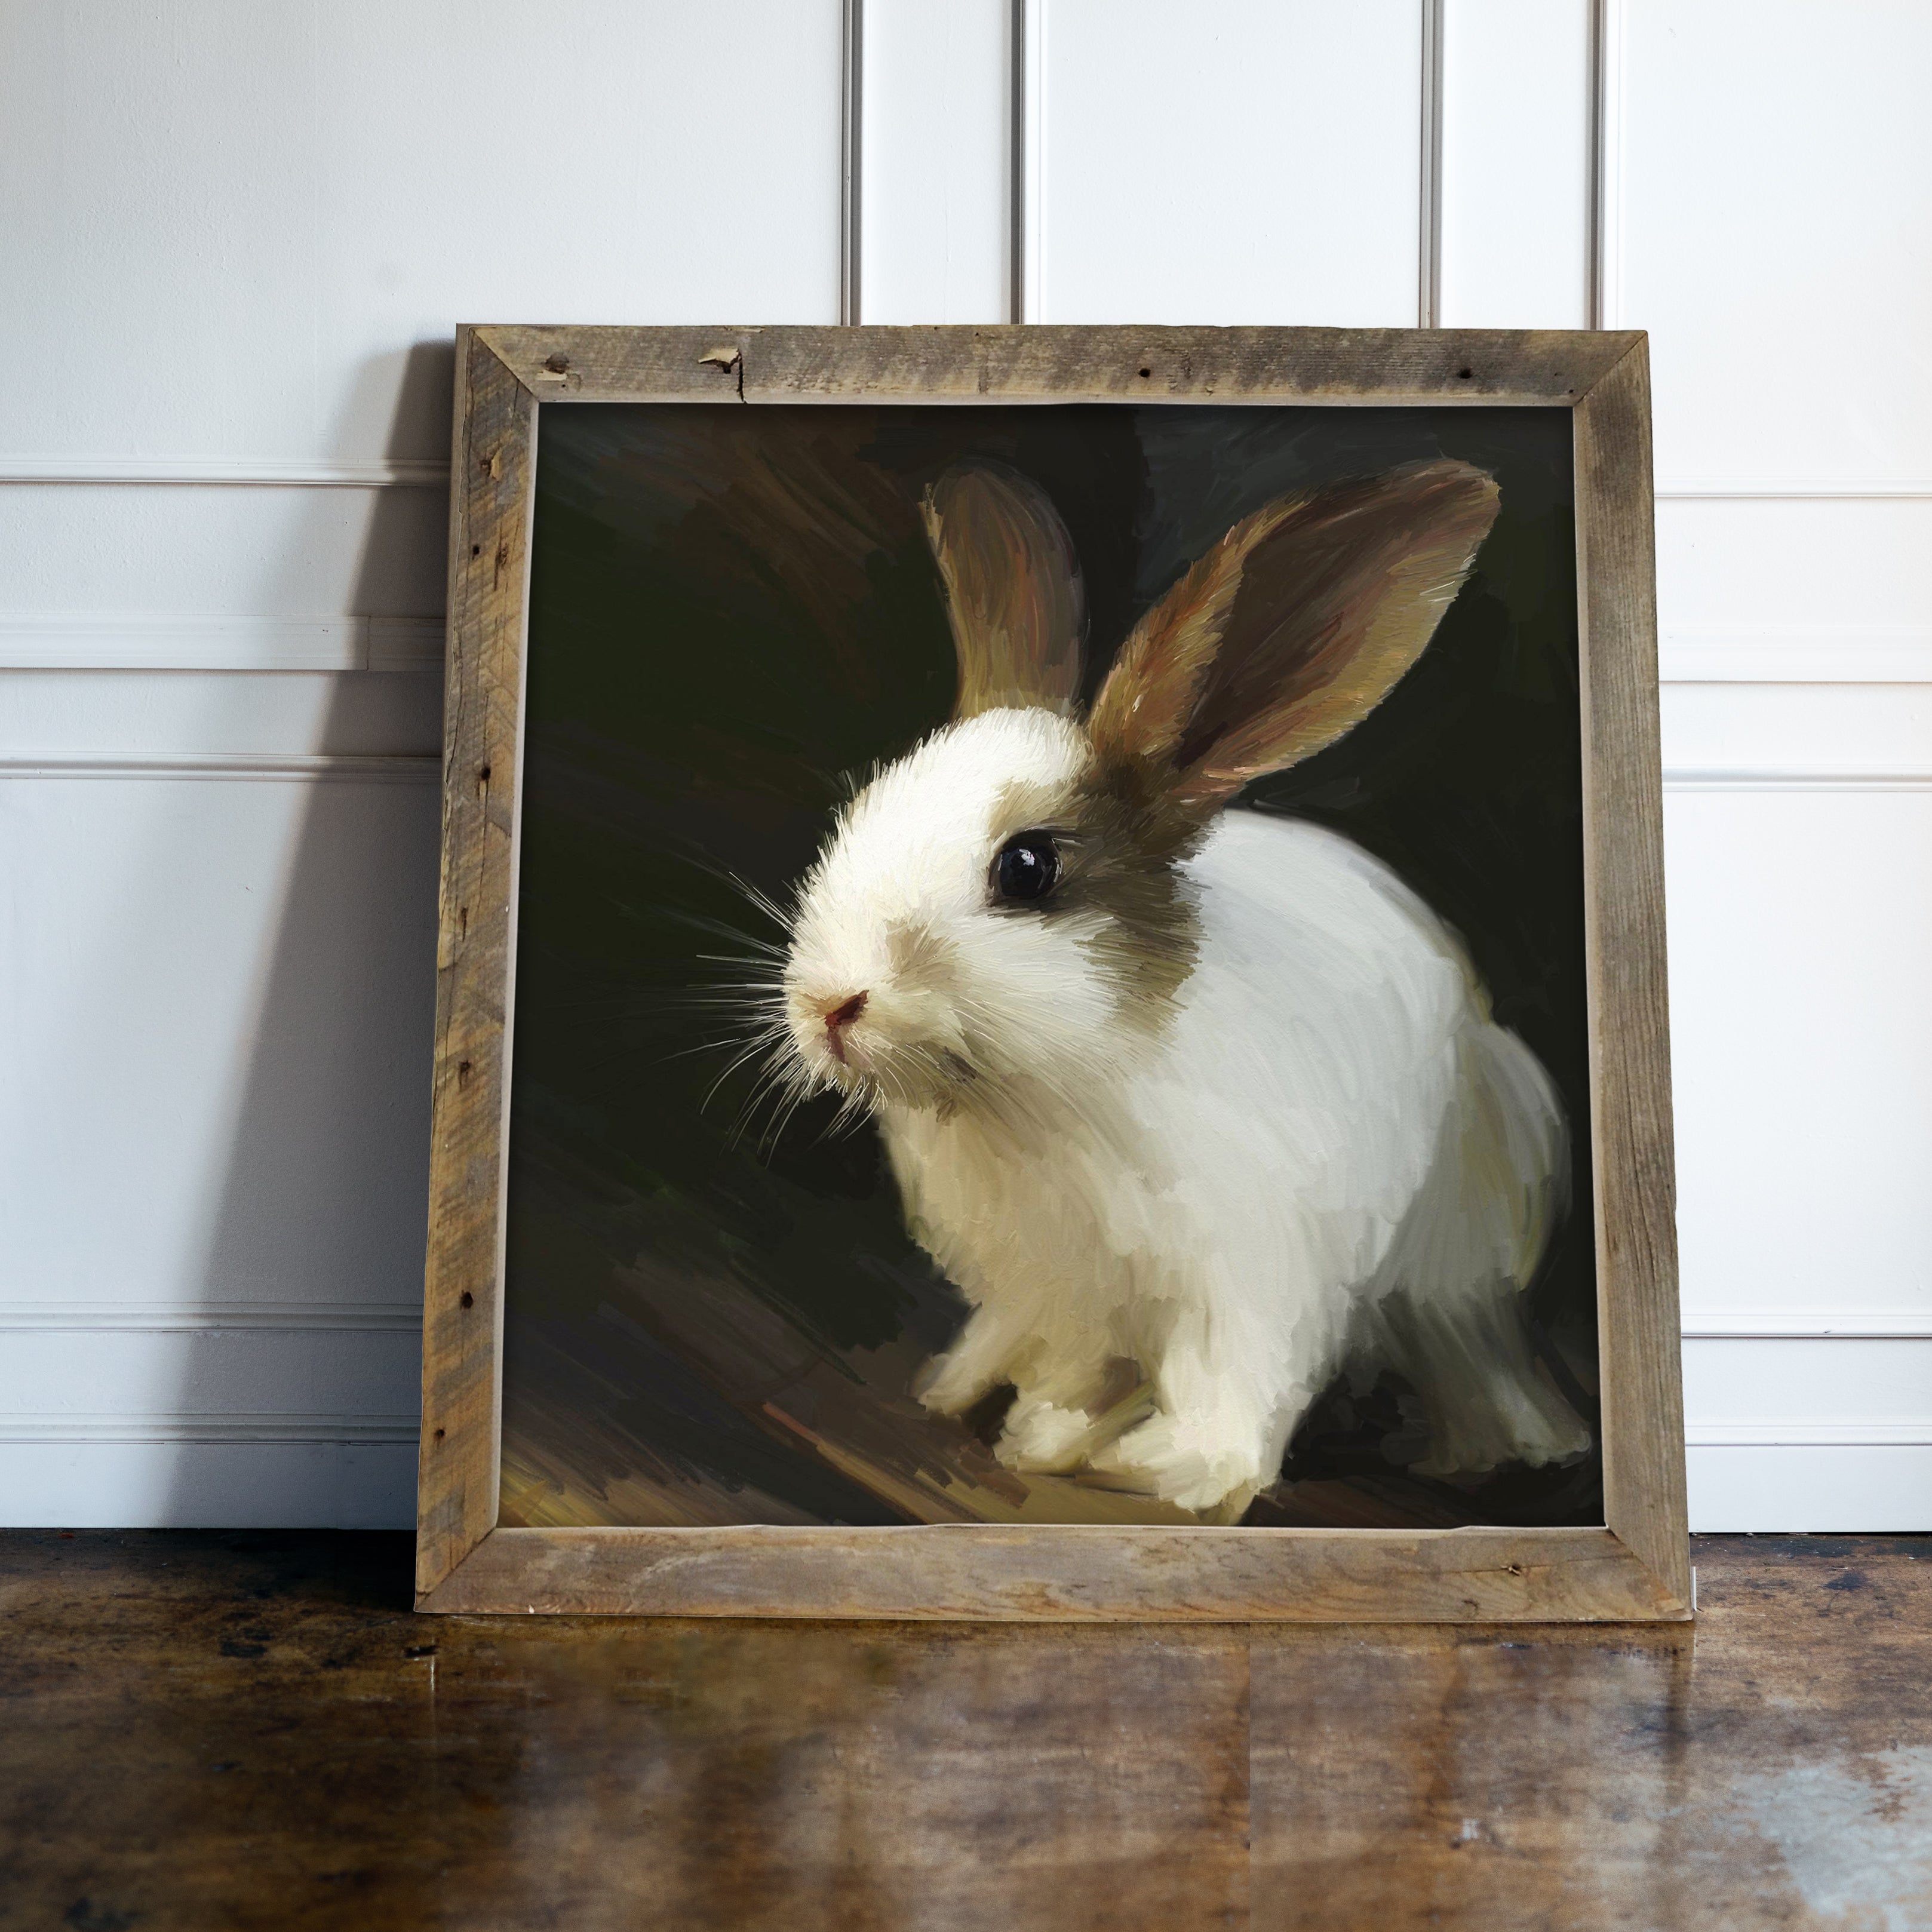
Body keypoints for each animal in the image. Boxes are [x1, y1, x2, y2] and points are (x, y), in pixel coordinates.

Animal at [773, 456, 1591, 1520]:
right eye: (862, 807)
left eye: (1027, 868)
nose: (827, 1004)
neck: (1041, 1093)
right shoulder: (1049, 1290)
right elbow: (1065, 1366)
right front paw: (1035, 1428)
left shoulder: (1249, 1279)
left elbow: (1230, 1396)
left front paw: (1163, 1469)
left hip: (1458, 1261)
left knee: (1470, 1351)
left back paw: (1504, 1451)